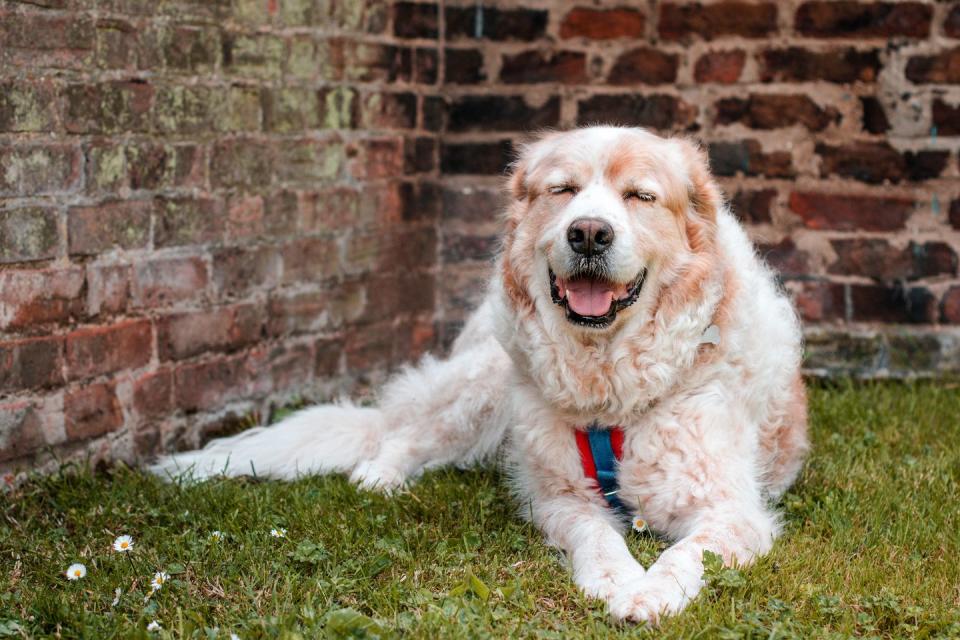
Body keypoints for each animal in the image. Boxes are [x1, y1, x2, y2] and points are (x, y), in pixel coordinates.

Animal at [152, 126, 808, 624]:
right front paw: (616, 579)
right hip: (485, 387)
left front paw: (647, 593)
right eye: (563, 190)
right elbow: (599, 537)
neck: (611, 385)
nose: (588, 232)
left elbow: (684, 556)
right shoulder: (561, 498)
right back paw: (379, 477)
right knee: (408, 435)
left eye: (639, 196)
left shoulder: (730, 513)